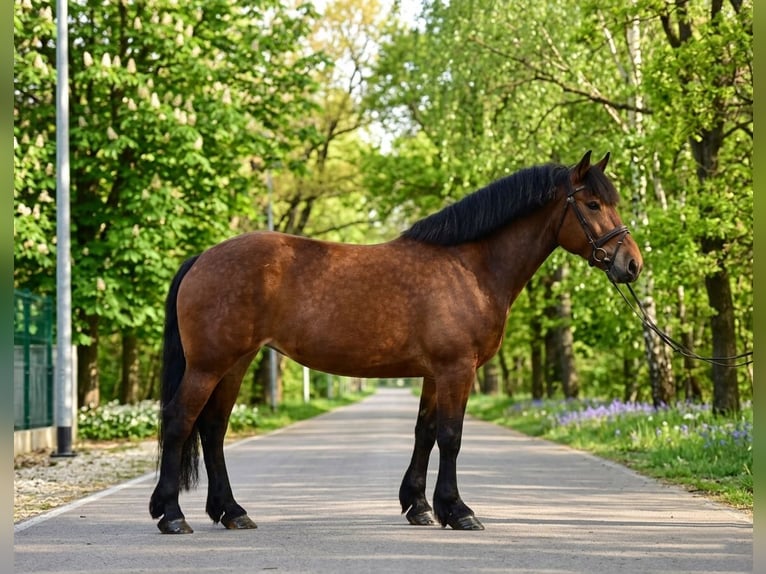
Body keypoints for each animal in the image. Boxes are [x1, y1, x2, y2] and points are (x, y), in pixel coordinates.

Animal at [149, 150, 642, 534]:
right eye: (593, 204)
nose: (631, 264)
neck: (469, 266)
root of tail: (202, 258)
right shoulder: (456, 369)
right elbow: (451, 436)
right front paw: (458, 511)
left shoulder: (434, 373)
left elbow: (425, 433)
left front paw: (420, 506)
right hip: (210, 364)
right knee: (180, 422)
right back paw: (172, 515)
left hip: (236, 362)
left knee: (213, 430)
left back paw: (232, 512)